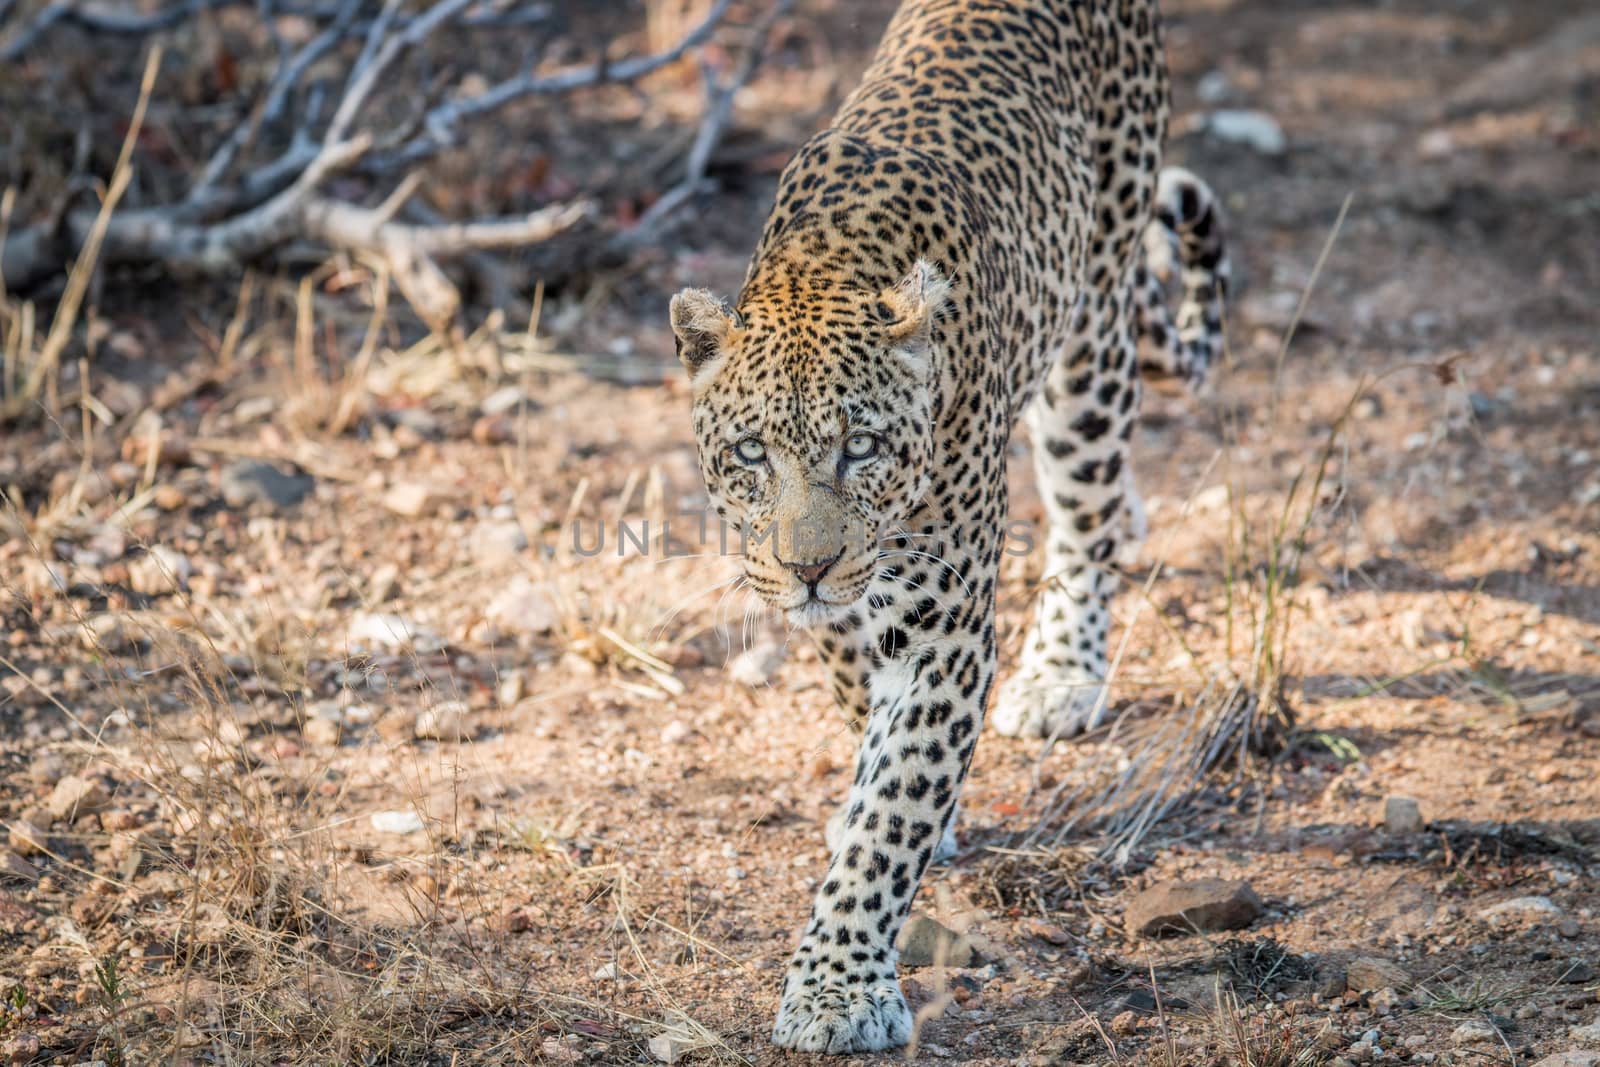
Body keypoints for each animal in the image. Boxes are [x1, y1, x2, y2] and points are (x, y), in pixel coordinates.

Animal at [668, 0, 1228, 1049]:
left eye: (863, 446)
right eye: (753, 452)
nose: (807, 567)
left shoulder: (946, 627)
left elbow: (891, 811)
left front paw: (839, 987)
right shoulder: (837, 614)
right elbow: (868, 718)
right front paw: (919, 803)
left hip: (1090, 330)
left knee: (1084, 507)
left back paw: (1063, 671)